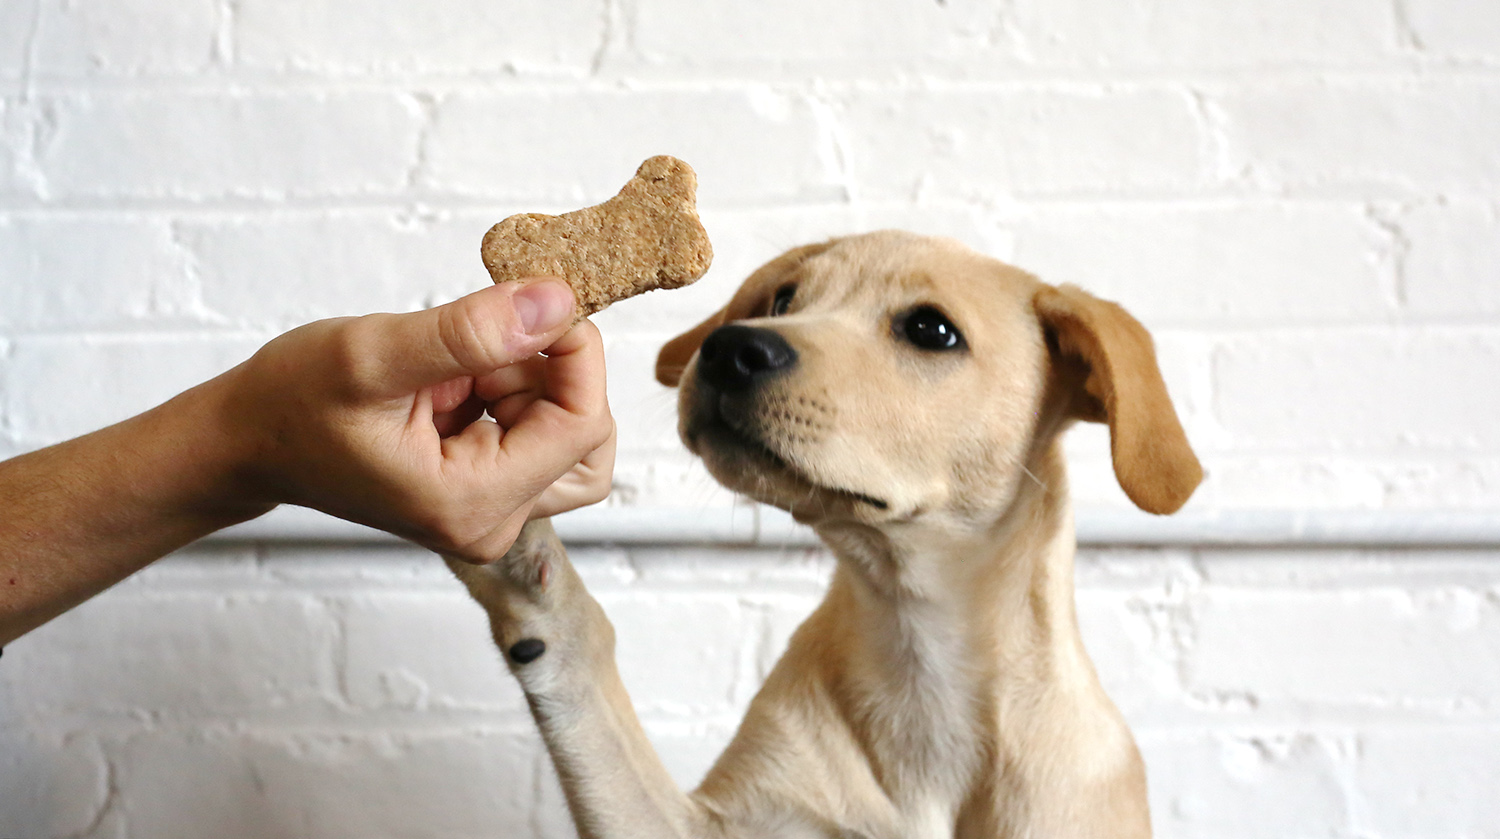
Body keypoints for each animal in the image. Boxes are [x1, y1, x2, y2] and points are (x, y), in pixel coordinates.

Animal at [447, 231, 1206, 839]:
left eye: (931, 330)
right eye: (783, 299)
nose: (729, 346)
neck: (916, 646)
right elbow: (586, 680)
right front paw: (523, 562)